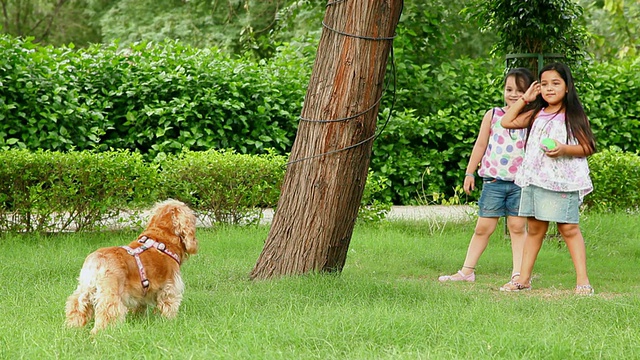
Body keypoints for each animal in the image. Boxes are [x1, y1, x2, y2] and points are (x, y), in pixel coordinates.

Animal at [64, 198, 196, 334]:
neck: (161, 238)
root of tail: (97, 260)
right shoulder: (169, 289)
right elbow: (168, 309)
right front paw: (169, 323)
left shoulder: (141, 294)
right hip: (110, 296)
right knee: (105, 316)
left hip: (84, 290)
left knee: (75, 307)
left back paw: (71, 329)